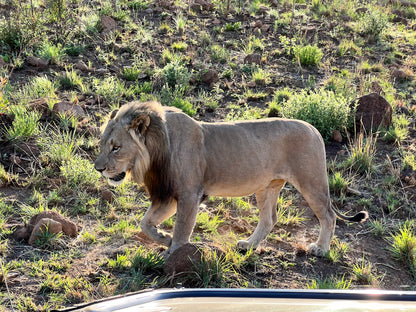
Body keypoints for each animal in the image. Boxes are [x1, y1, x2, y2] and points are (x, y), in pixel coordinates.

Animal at [95, 101, 368, 258]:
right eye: (102, 144)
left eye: (116, 147)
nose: (98, 169)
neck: (153, 153)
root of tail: (314, 129)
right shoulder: (168, 195)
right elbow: (145, 223)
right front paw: (164, 238)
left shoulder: (189, 194)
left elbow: (183, 228)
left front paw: (173, 252)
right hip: (267, 186)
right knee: (269, 219)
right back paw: (249, 245)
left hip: (311, 182)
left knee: (329, 216)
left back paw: (320, 249)